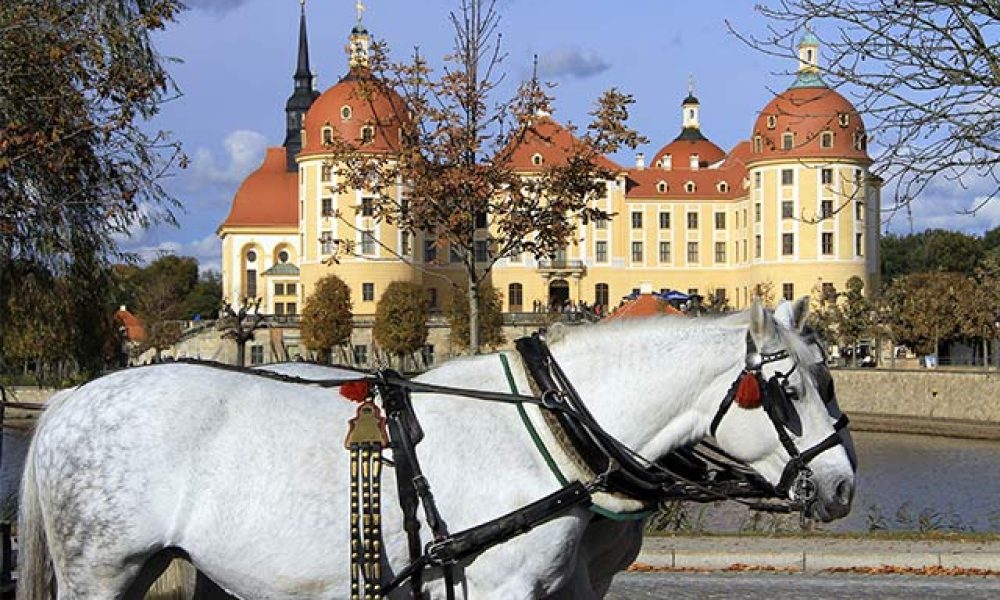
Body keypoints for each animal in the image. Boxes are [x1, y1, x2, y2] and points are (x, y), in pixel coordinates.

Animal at [19, 298, 856, 596]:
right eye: (787, 391)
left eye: (830, 378)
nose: (845, 486)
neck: (547, 433)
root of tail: (69, 399)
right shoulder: (503, 590)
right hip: (100, 573)